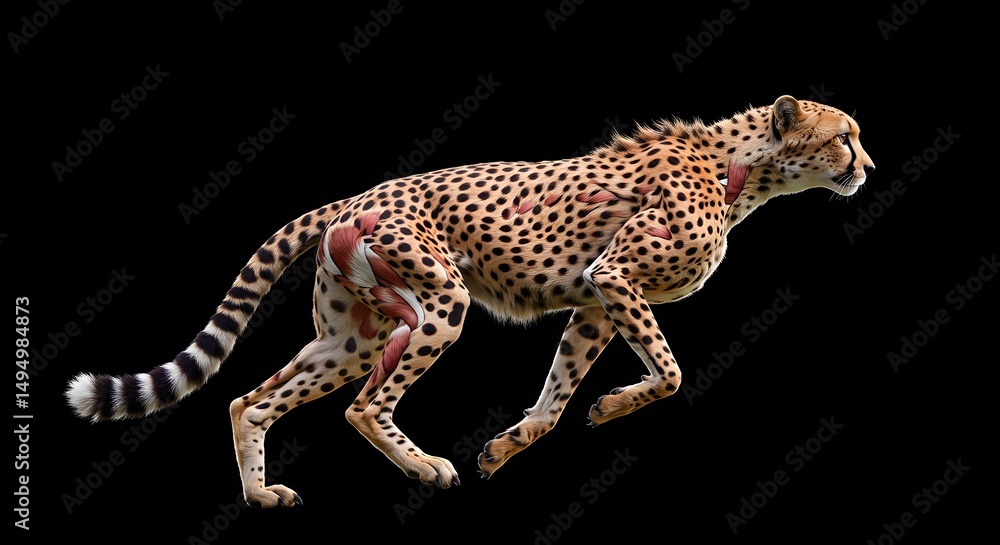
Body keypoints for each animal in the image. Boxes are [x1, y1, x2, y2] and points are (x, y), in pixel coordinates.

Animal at [66, 95, 874, 508]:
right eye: (844, 137)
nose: (867, 167)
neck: (744, 166)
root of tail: (361, 192)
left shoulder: (595, 302)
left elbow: (555, 397)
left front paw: (511, 443)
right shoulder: (616, 276)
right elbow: (671, 373)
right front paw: (613, 405)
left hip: (350, 336)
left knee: (249, 400)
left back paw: (262, 494)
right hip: (439, 302)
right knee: (365, 405)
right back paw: (424, 467)